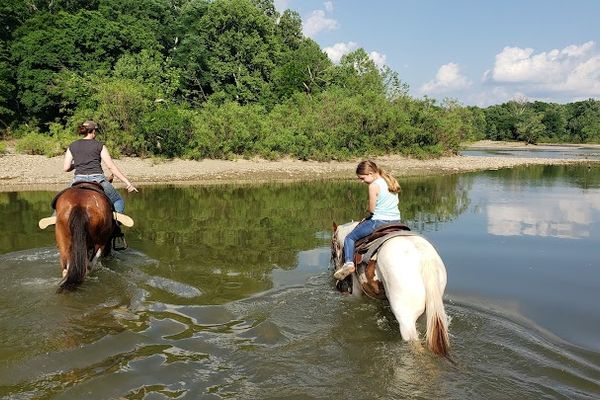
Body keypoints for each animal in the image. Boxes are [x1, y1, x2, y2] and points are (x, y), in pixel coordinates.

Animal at [332, 222, 450, 356]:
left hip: (406, 319)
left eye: (333, 251)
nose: (339, 285)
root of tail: (424, 257)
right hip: (427, 314)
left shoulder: (357, 290)